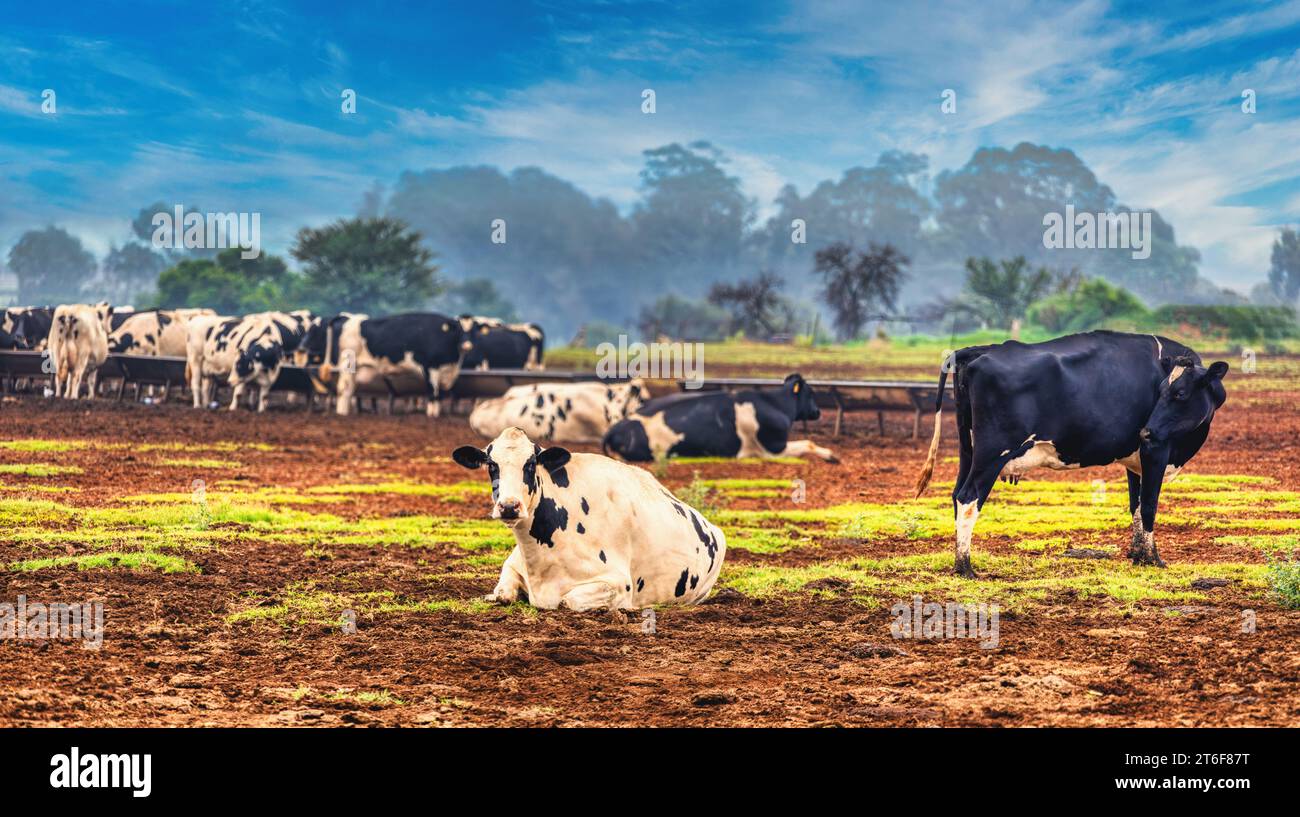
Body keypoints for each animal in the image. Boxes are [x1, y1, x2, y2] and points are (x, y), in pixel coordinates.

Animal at [293, 310, 467, 418]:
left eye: (467, 331)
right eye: (459, 330)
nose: (467, 345)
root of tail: (347, 319)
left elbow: (439, 395)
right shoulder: (430, 368)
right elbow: (433, 393)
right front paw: (432, 415)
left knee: (349, 390)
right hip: (347, 366)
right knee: (343, 389)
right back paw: (342, 413)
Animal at [452, 426, 728, 606]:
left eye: (530, 464)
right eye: (491, 465)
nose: (509, 506)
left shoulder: (619, 584)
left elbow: (567, 601)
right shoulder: (512, 566)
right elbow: (503, 594)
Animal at [603, 374, 837, 463]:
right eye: (811, 393)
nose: (818, 411)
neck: (775, 403)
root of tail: (616, 427)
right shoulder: (773, 448)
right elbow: (808, 443)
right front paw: (832, 455)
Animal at [915, 329, 1227, 577]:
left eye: (1180, 393)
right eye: (1164, 392)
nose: (1146, 431)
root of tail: (980, 351)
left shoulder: (1135, 458)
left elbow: (1135, 505)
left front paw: (1138, 555)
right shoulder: (1156, 450)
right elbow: (1149, 505)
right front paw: (1154, 559)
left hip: (968, 451)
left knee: (956, 494)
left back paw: (959, 561)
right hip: (992, 453)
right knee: (969, 498)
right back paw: (965, 567)